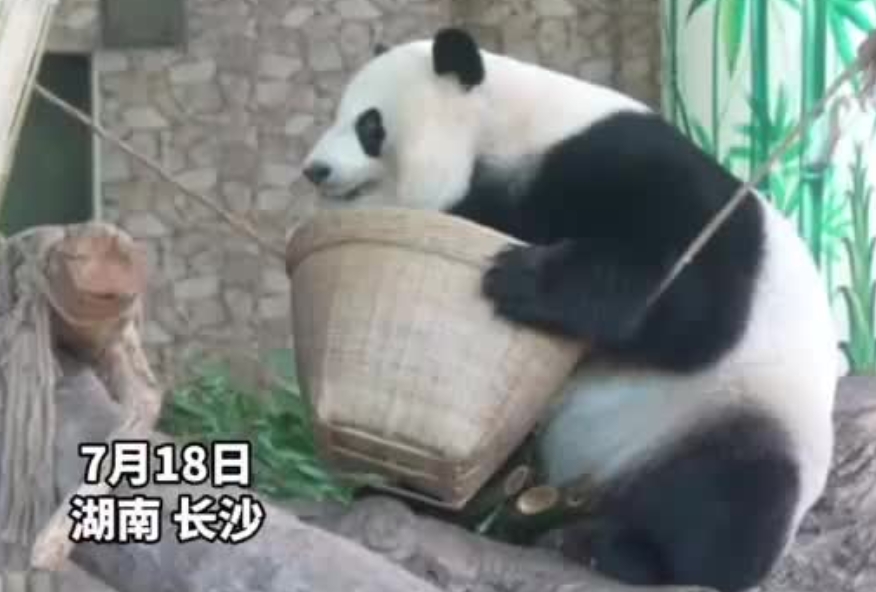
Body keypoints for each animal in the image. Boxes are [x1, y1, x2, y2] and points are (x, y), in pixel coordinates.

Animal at [301, 27, 839, 592]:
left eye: (369, 124)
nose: (314, 170)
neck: (500, 126)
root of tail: (580, 489)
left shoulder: (625, 164)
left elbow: (693, 296)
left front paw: (518, 278)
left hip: (734, 409)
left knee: (729, 494)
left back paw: (619, 550)